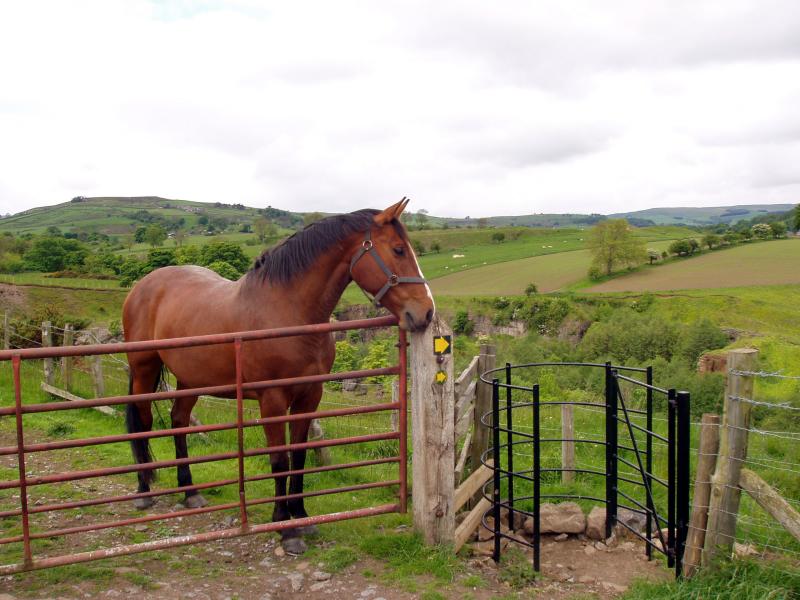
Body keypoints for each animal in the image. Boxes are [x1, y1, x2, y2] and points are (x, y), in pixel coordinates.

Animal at [120, 200, 432, 552]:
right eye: (398, 249)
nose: (426, 312)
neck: (287, 311)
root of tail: (143, 285)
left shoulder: (309, 397)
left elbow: (299, 455)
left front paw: (301, 516)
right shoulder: (272, 401)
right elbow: (279, 459)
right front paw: (285, 526)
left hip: (190, 379)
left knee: (178, 421)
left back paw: (190, 492)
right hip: (143, 370)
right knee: (142, 422)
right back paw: (144, 491)